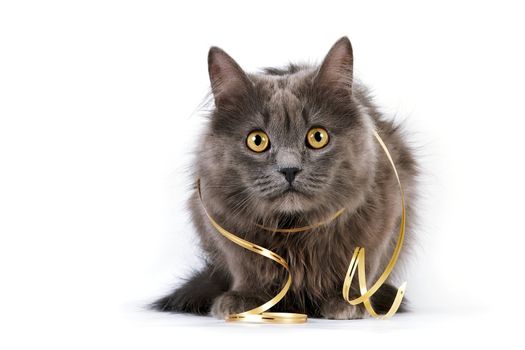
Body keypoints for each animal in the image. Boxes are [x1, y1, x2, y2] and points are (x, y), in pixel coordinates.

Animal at [151, 37, 418, 318]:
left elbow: (362, 265)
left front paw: (349, 301)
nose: (289, 169)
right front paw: (245, 299)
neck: (293, 232)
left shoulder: (385, 214)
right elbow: (246, 266)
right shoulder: (218, 219)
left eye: (317, 137)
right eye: (257, 141)